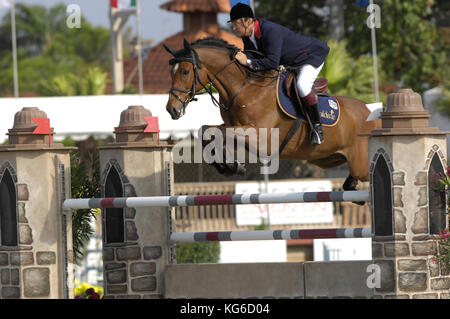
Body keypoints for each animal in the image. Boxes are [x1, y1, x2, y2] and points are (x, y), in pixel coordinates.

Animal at [163, 38, 382, 196]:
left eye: (185, 71)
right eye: (171, 73)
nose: (171, 109)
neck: (244, 88)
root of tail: (371, 112)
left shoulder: (259, 137)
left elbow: (214, 131)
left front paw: (230, 165)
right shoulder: (235, 128)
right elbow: (208, 131)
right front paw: (230, 166)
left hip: (360, 164)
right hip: (332, 159)